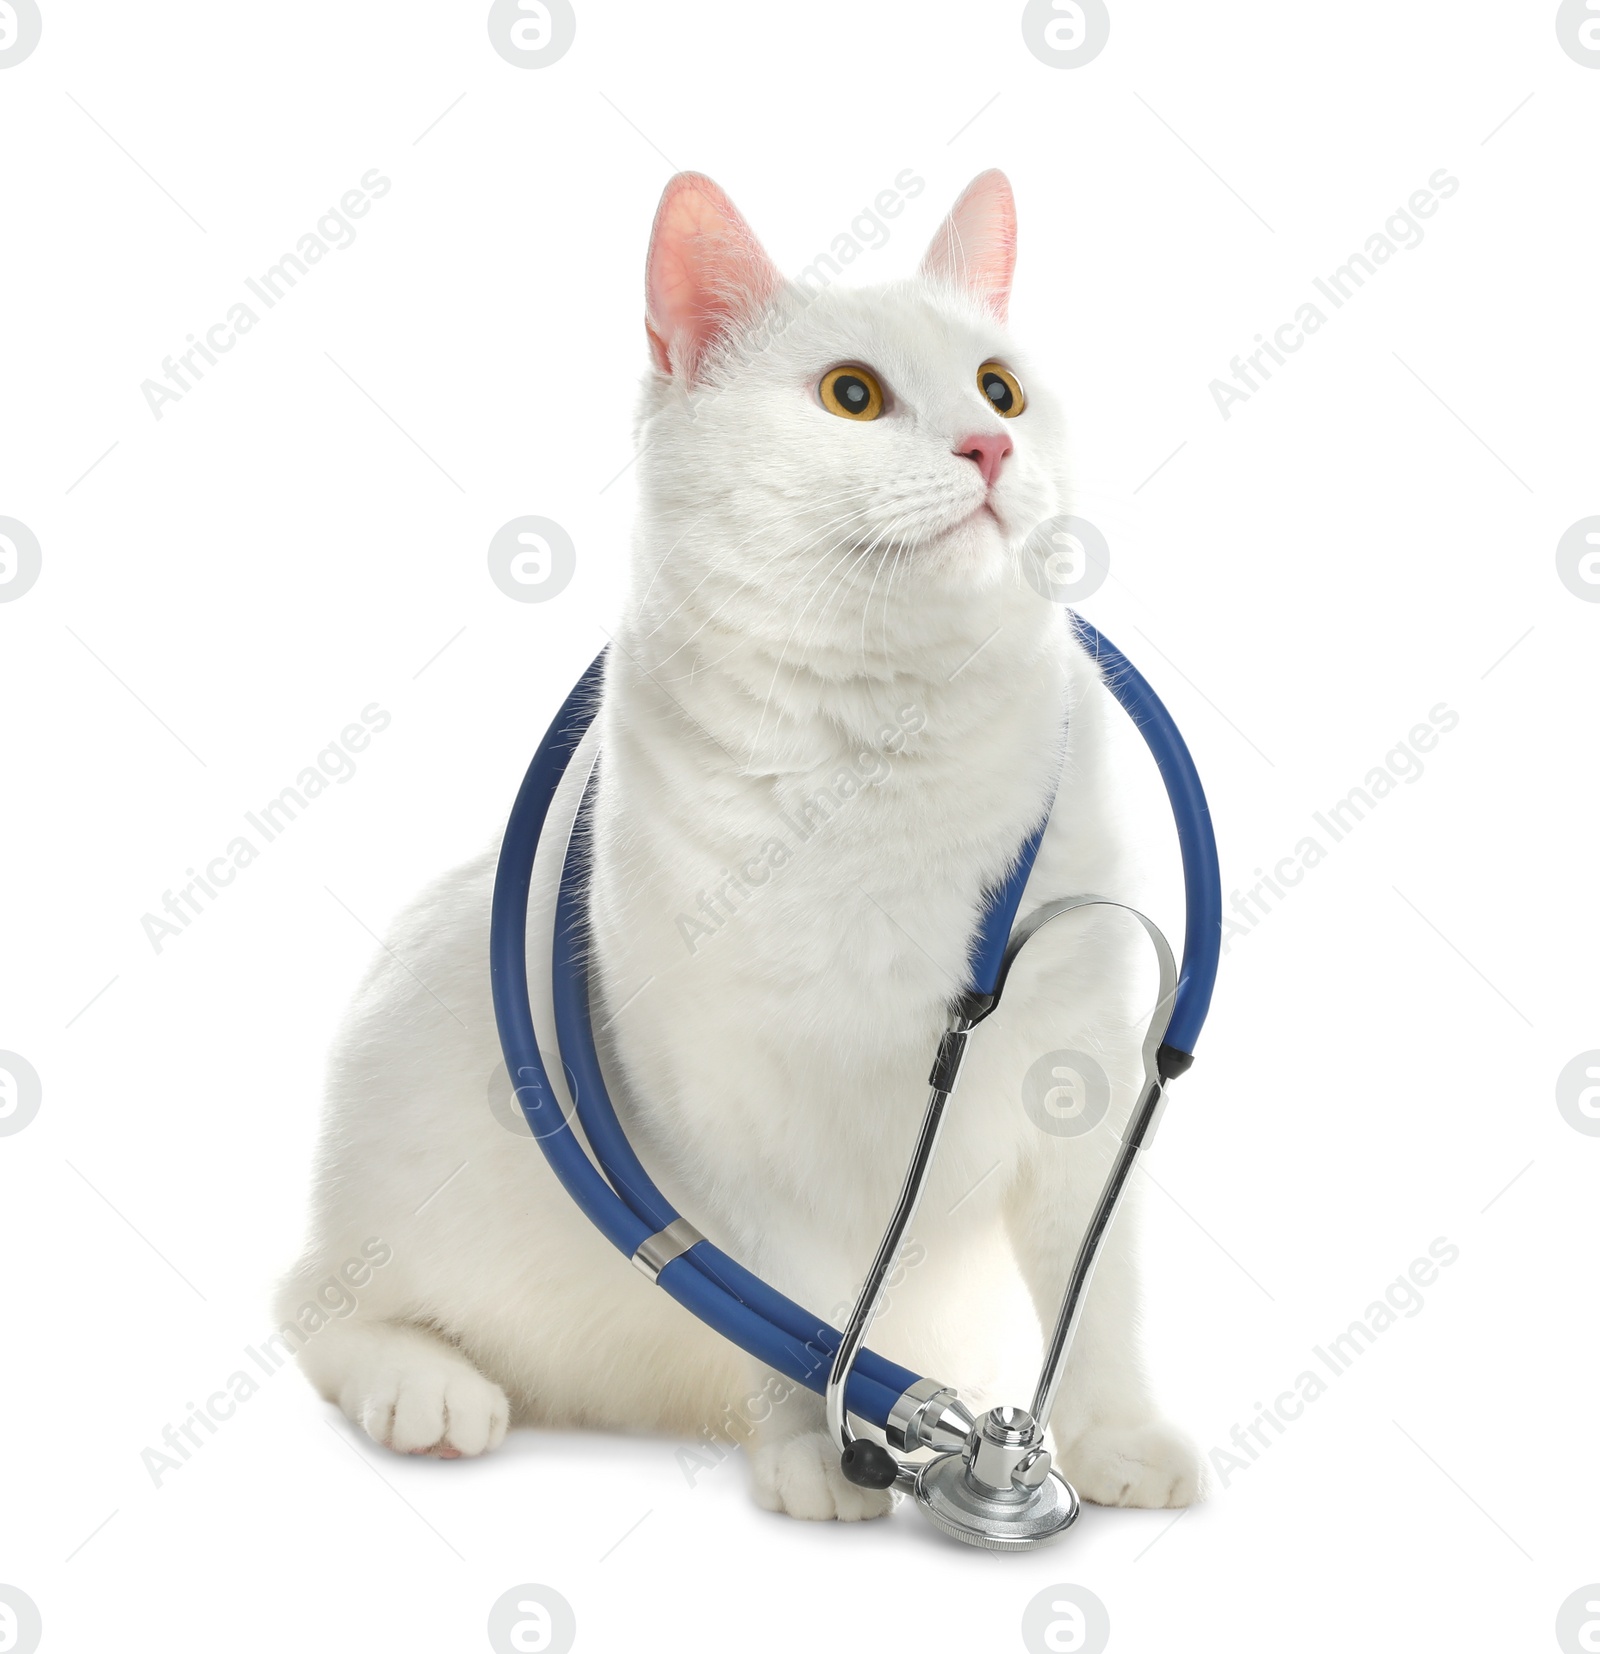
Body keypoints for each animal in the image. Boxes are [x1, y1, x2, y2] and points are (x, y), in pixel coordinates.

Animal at [277, 171, 1204, 1521]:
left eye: (999, 389)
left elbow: (1104, 1295)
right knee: (319, 1304)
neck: (891, 739)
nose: (988, 449)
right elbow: (800, 1310)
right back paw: (427, 1387)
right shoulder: (728, 1127)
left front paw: (1109, 1435)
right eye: (853, 396)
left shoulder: (1081, 1093)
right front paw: (816, 1447)